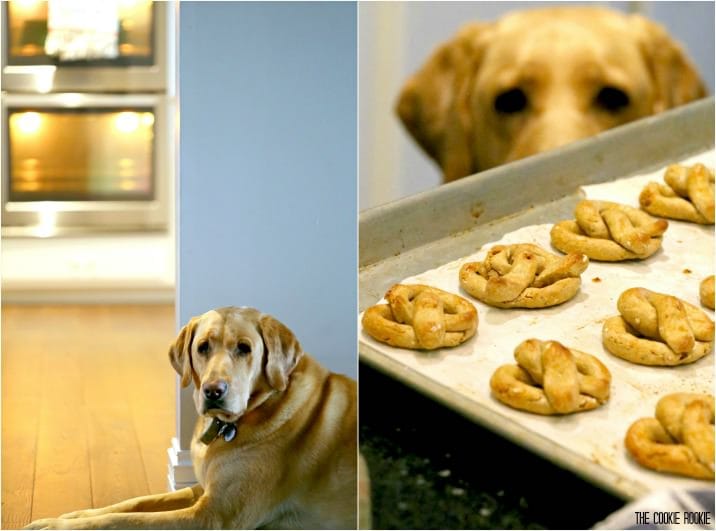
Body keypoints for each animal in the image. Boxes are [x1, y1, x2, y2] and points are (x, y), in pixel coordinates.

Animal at [28, 306, 358, 528]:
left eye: (244, 348)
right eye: (203, 347)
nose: (213, 391)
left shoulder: (211, 516)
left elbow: (129, 520)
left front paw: (56, 525)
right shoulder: (203, 489)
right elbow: (137, 502)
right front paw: (74, 513)